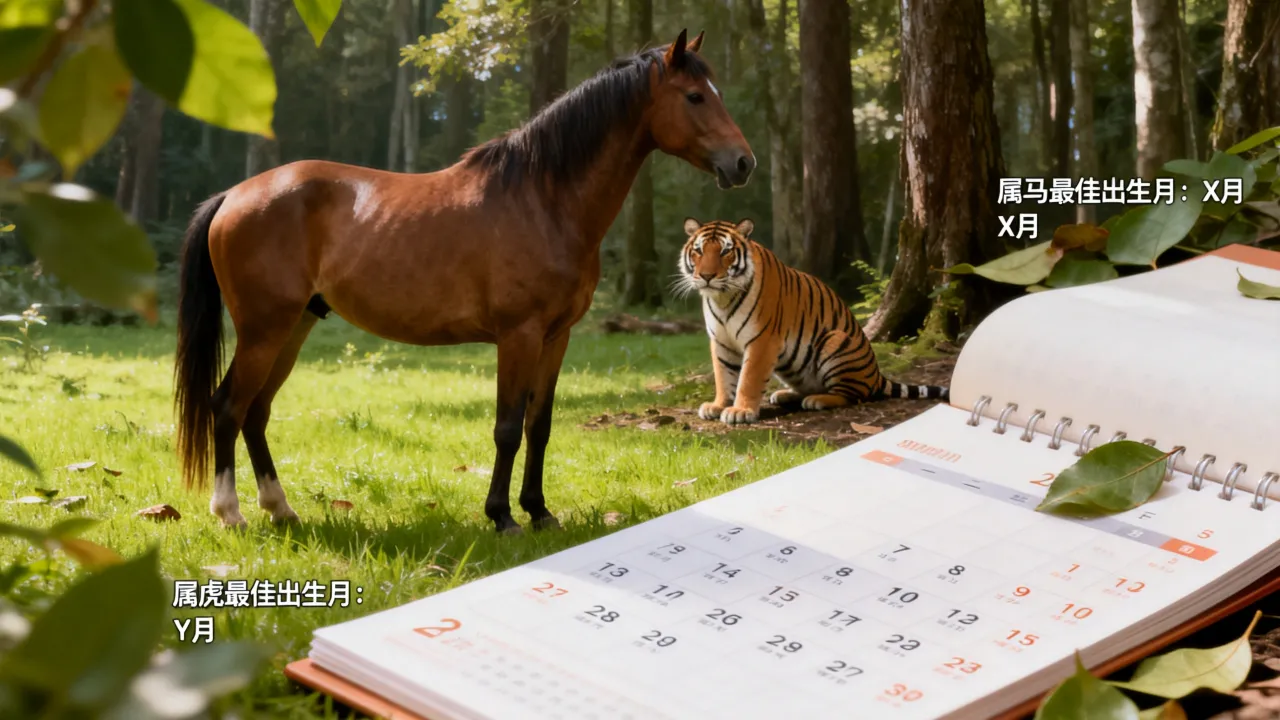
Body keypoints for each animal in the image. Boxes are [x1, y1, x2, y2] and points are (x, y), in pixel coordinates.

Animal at [173, 30, 755, 534]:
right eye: (695, 96)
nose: (743, 163)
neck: (544, 200)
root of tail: (234, 195)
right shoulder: (518, 336)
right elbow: (507, 428)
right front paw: (502, 517)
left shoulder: (555, 337)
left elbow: (538, 426)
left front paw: (539, 511)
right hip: (264, 330)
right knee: (227, 407)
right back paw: (231, 513)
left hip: (294, 327)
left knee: (256, 412)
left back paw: (281, 509)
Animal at [676, 217, 949, 425]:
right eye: (699, 250)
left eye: (725, 251)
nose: (707, 276)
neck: (722, 298)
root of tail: (877, 375)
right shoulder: (721, 341)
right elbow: (723, 376)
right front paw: (717, 405)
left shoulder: (762, 340)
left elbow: (748, 378)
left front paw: (740, 411)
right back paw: (785, 395)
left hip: (835, 341)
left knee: (852, 394)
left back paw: (817, 401)